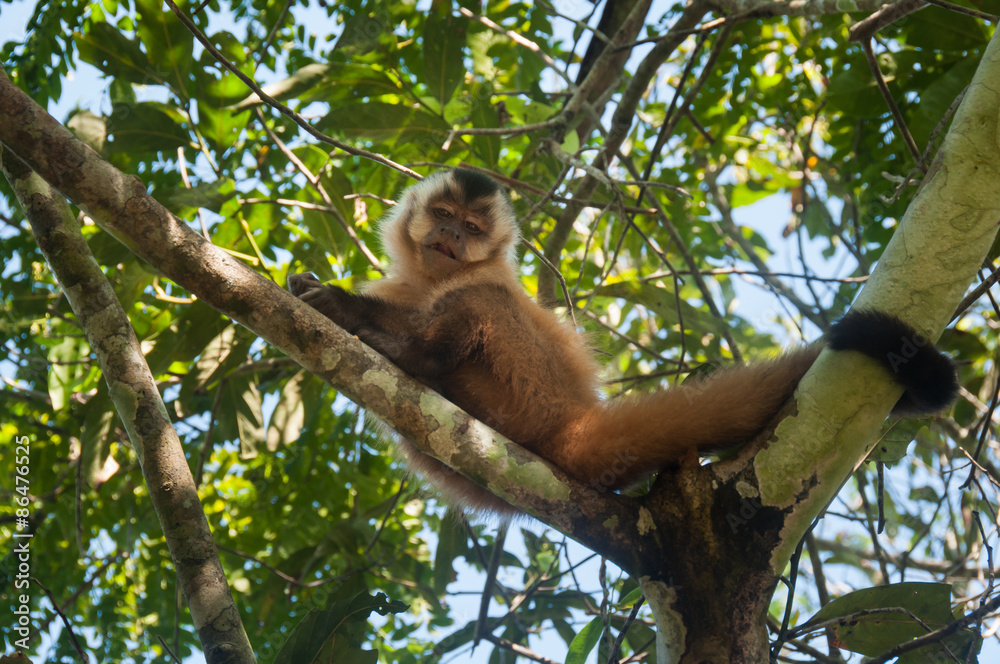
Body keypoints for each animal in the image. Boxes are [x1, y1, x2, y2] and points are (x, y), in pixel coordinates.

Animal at [288, 168, 959, 515]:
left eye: (472, 229)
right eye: (444, 217)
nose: (452, 236)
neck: (431, 276)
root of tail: (575, 420)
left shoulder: (486, 273)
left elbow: (479, 296)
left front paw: (346, 309)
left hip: (532, 394)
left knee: (483, 309)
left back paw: (416, 357)